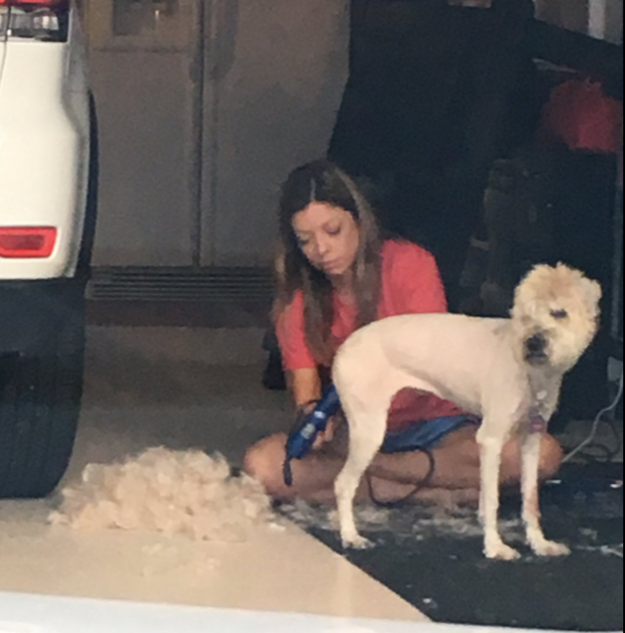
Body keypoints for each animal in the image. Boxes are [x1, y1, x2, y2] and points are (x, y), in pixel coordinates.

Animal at [332, 262, 600, 556]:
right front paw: (495, 547)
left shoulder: (532, 438)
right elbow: (492, 499)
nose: (533, 342)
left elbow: (530, 499)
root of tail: (345, 347)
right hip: (369, 429)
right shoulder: (491, 440)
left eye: (559, 313)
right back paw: (351, 536)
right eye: (526, 315)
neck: (530, 372)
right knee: (343, 484)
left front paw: (539, 543)